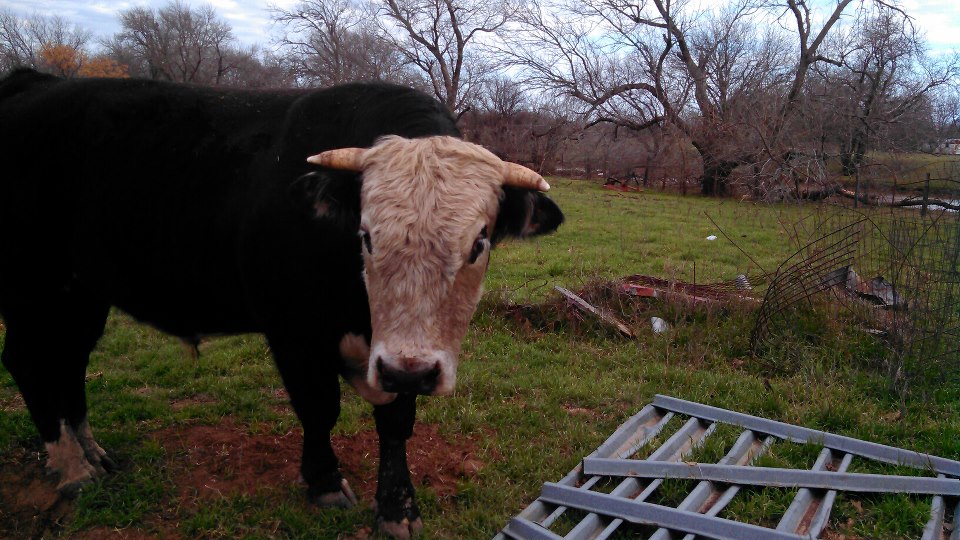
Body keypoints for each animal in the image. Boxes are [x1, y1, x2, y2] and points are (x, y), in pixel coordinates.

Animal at [0, 68, 563, 538]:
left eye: (479, 242)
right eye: (366, 236)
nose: (411, 372)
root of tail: (34, 82)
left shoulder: (403, 354)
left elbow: (396, 423)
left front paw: (397, 508)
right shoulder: (294, 333)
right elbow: (319, 409)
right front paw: (325, 483)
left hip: (80, 294)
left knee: (67, 363)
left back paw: (92, 453)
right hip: (32, 288)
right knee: (30, 364)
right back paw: (74, 470)